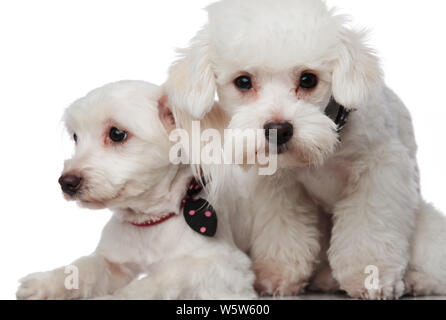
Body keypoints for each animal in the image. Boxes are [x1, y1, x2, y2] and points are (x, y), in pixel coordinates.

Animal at [15, 80, 256, 300]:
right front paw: (48, 282)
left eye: (117, 134)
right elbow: (86, 267)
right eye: (76, 137)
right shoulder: (114, 263)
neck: (150, 222)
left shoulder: (226, 268)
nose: (66, 182)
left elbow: (163, 277)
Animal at [166, 0, 446, 300]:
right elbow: (285, 233)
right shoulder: (281, 189)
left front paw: (370, 277)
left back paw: (416, 279)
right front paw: (279, 274)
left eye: (308, 79)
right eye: (243, 82)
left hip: (425, 229)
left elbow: (368, 232)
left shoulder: (380, 172)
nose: (278, 129)